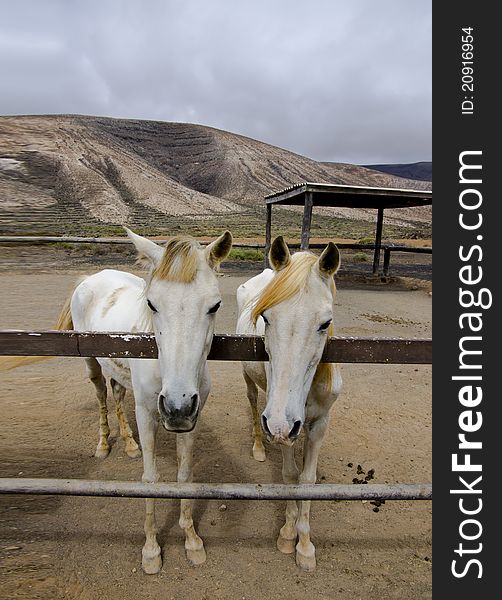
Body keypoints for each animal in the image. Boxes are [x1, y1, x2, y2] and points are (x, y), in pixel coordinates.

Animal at [54, 229, 230, 572]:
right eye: (152, 304)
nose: (176, 406)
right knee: (101, 395)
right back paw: (104, 444)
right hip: (91, 363)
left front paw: (191, 541)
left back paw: (129, 444)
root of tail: (91, 278)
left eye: (215, 305)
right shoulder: (148, 414)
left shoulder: (192, 420)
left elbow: (184, 477)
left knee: (117, 393)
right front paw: (151, 550)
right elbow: (150, 480)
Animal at [235, 236, 342, 572]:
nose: (280, 425)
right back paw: (257, 446)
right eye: (266, 317)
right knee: (253, 403)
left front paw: (305, 545)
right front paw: (287, 533)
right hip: (249, 379)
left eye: (325, 323)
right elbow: (290, 475)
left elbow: (307, 479)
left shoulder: (318, 424)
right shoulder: (281, 425)